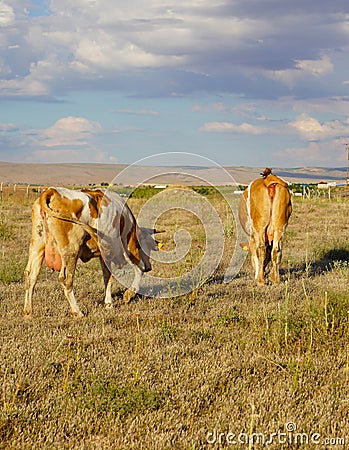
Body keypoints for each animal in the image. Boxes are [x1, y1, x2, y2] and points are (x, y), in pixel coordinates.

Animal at [23, 188, 162, 318]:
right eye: (147, 246)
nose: (149, 267)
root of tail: (52, 191)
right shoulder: (126, 247)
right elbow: (138, 270)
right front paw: (129, 294)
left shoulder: (105, 254)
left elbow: (107, 276)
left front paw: (108, 303)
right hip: (71, 250)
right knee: (66, 279)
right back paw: (77, 311)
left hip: (37, 245)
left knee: (31, 276)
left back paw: (28, 312)